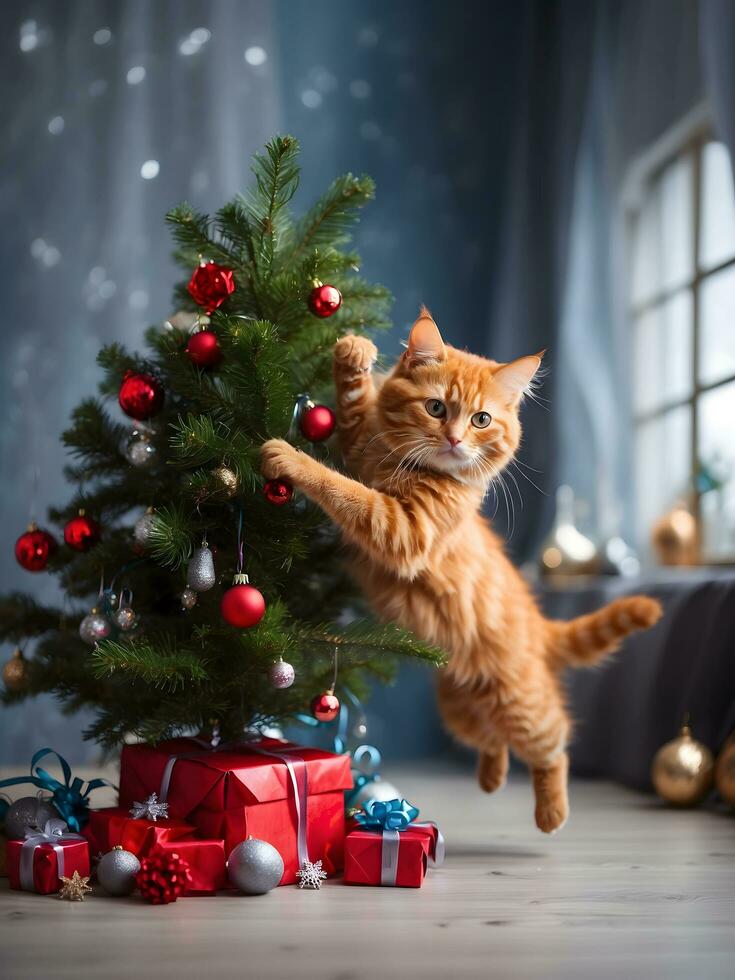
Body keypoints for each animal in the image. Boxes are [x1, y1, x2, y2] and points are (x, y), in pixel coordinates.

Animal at [262, 308, 664, 836]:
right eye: (435, 408)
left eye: (481, 419)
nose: (454, 439)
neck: (405, 466)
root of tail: (538, 624)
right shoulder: (360, 448)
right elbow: (352, 418)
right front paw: (353, 356)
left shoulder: (401, 527)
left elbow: (344, 490)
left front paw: (291, 458)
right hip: (458, 710)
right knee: (492, 740)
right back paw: (491, 779)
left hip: (523, 704)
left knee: (553, 743)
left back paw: (551, 813)